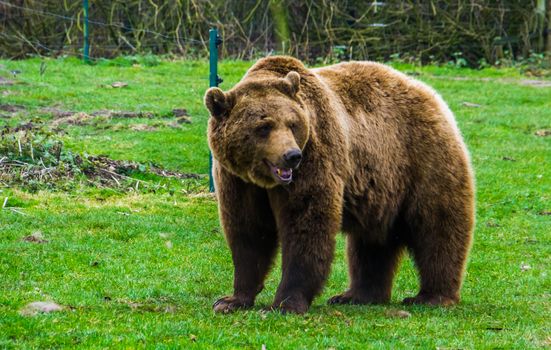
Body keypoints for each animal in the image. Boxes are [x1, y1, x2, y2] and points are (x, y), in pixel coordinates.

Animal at [205, 55, 476, 314]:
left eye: (292, 124)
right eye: (263, 126)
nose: (292, 156)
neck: (265, 181)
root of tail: (430, 94)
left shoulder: (315, 157)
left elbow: (306, 224)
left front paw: (285, 303)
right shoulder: (238, 181)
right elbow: (249, 232)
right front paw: (231, 300)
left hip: (423, 159)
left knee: (437, 226)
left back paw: (432, 296)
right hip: (381, 188)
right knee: (371, 245)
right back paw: (357, 295)